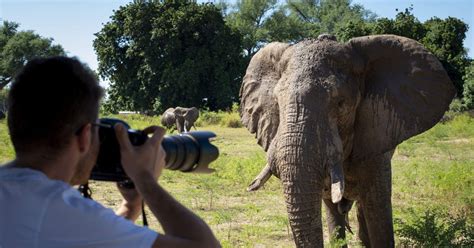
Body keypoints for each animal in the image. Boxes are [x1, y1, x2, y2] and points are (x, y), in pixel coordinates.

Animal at [241, 34, 456, 247]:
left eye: (340, 103)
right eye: (277, 103)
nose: (250, 186)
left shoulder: (376, 142)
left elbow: (378, 209)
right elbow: (331, 207)